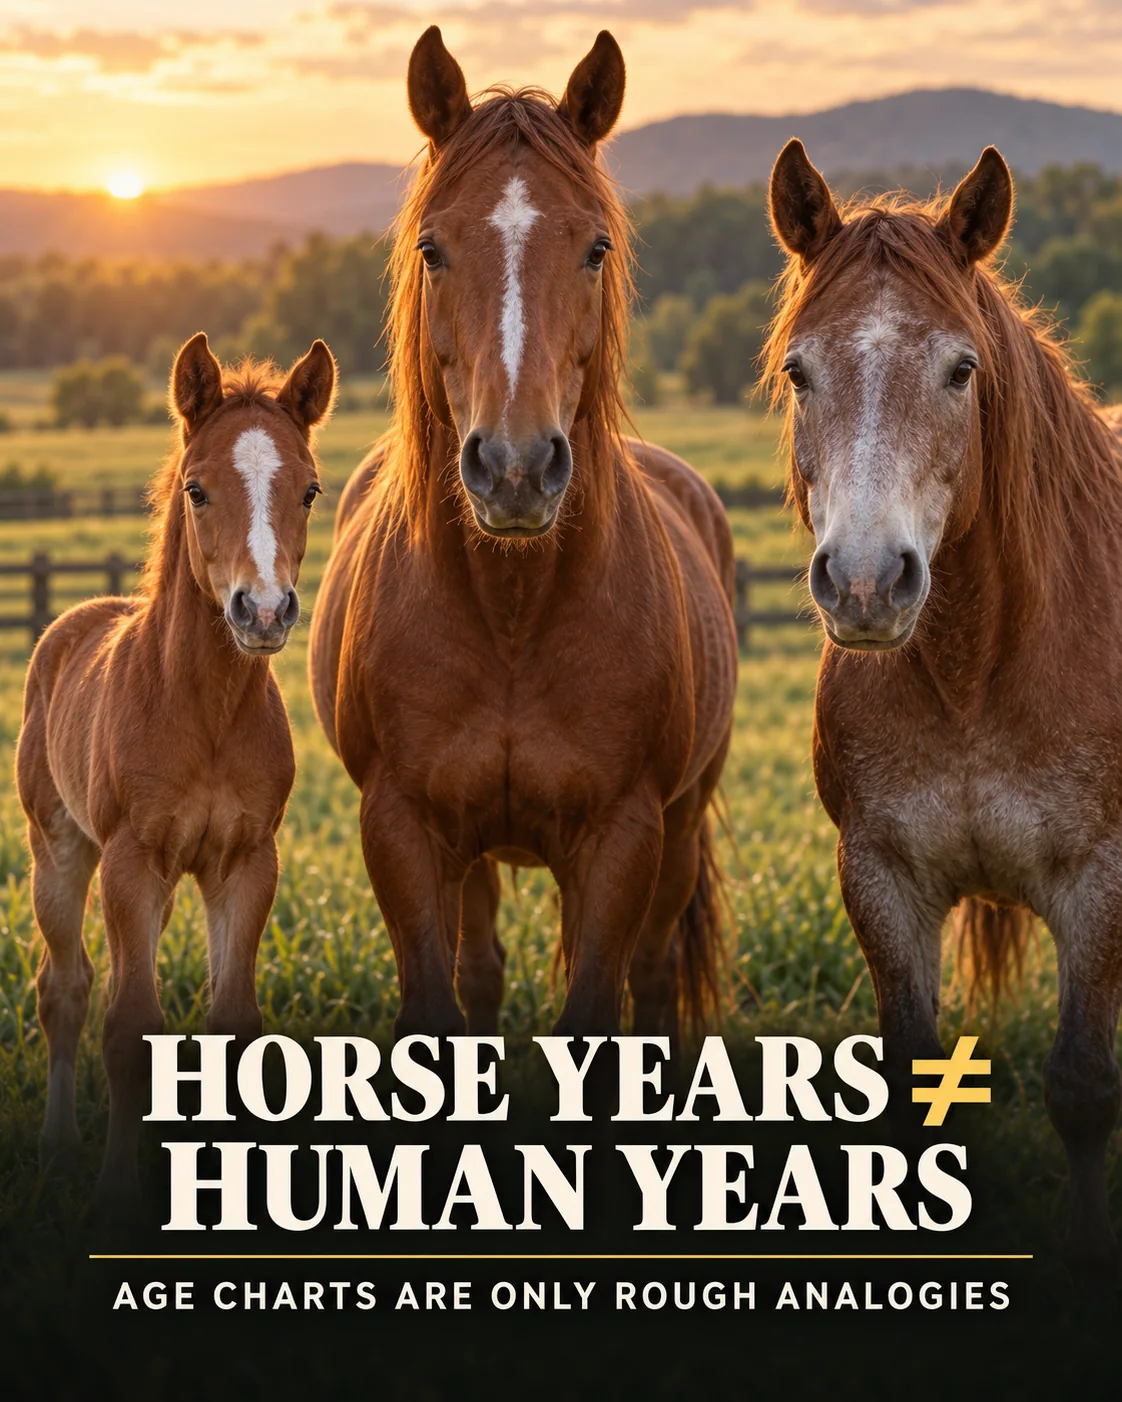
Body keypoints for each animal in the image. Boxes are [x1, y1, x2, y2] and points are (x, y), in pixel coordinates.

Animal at [16, 332, 336, 1200]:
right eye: (197, 490)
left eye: (309, 491)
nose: (263, 612)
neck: (205, 712)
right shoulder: (133, 859)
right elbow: (129, 1025)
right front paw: (114, 1192)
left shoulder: (246, 862)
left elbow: (234, 1027)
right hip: (60, 851)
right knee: (65, 989)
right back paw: (58, 1140)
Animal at [309, 27, 738, 1040]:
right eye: (432, 248)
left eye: (595, 247)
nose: (513, 466)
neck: (511, 611)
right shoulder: (402, 830)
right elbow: (441, 1000)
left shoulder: (624, 836)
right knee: (484, 970)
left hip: (681, 825)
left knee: (655, 975)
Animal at [765, 139, 1122, 1274]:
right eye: (799, 372)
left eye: (960, 370)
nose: (867, 583)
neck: (977, 672)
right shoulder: (883, 876)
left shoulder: (1100, 882)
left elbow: (1083, 1089)